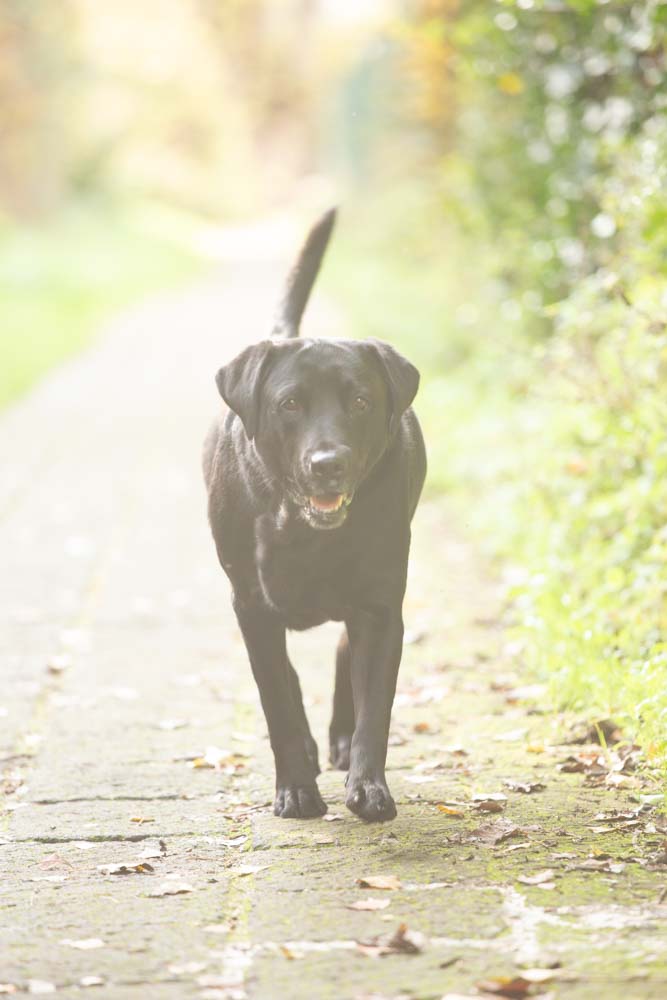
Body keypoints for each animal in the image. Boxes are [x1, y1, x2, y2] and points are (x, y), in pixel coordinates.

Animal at [201, 209, 426, 820]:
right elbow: (276, 699)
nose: (329, 464)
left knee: (346, 659)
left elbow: (376, 704)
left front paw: (368, 786)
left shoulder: (381, 604)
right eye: (290, 404)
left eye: (361, 402)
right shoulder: (251, 606)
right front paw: (297, 789)